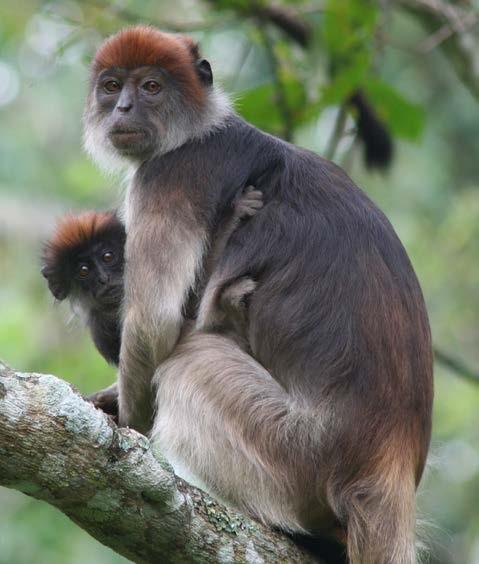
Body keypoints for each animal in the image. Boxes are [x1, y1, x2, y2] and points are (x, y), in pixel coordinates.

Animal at [83, 26, 436, 564]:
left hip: (294, 453)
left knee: (187, 360)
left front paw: (128, 419)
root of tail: (388, 462)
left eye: (151, 87)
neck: (203, 129)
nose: (122, 108)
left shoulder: (170, 175)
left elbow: (154, 324)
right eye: (111, 86)